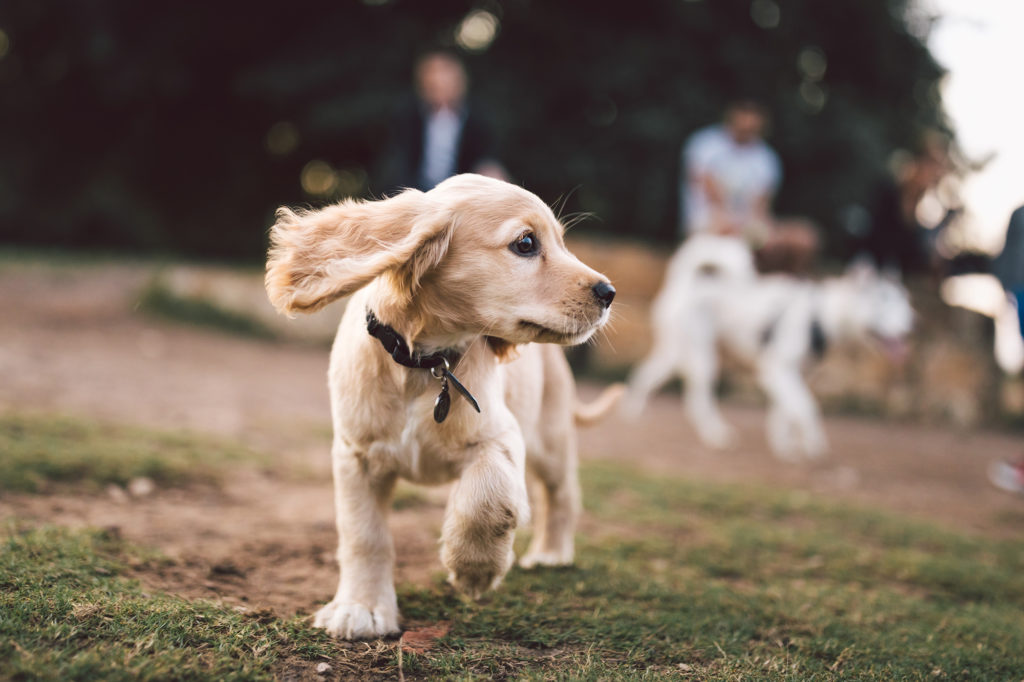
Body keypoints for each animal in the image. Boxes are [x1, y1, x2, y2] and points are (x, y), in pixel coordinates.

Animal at [264, 171, 614, 638]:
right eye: (526, 243)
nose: (609, 292)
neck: (426, 362)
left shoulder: (500, 436)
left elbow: (487, 498)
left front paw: (474, 569)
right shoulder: (356, 454)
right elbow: (364, 534)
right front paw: (361, 607)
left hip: (551, 436)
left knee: (562, 493)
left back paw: (551, 554)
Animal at [622, 232, 913, 456]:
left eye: (903, 303)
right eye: (882, 305)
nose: (909, 327)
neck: (819, 315)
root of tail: (684, 281)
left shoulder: (791, 374)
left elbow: (784, 411)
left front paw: (785, 445)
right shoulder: (775, 368)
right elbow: (805, 407)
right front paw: (811, 443)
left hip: (676, 352)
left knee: (646, 373)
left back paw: (632, 412)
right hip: (702, 356)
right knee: (696, 401)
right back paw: (715, 434)